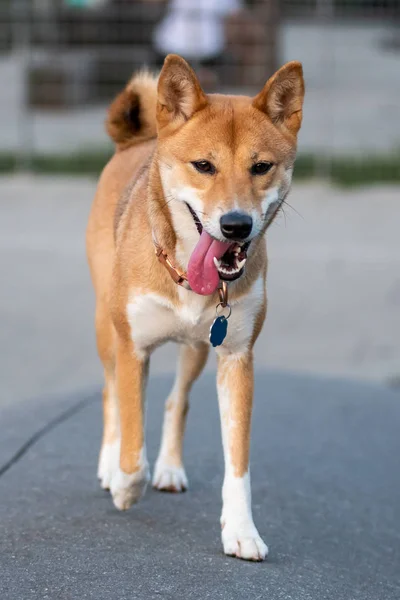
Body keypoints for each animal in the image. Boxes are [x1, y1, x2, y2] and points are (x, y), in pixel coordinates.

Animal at [87, 54, 304, 560]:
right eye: (203, 166)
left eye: (261, 167)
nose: (235, 224)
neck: (187, 273)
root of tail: (138, 140)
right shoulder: (132, 348)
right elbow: (132, 440)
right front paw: (124, 484)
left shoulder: (236, 357)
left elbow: (238, 462)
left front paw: (241, 530)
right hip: (107, 328)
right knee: (110, 397)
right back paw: (109, 467)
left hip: (197, 349)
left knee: (176, 400)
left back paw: (168, 468)